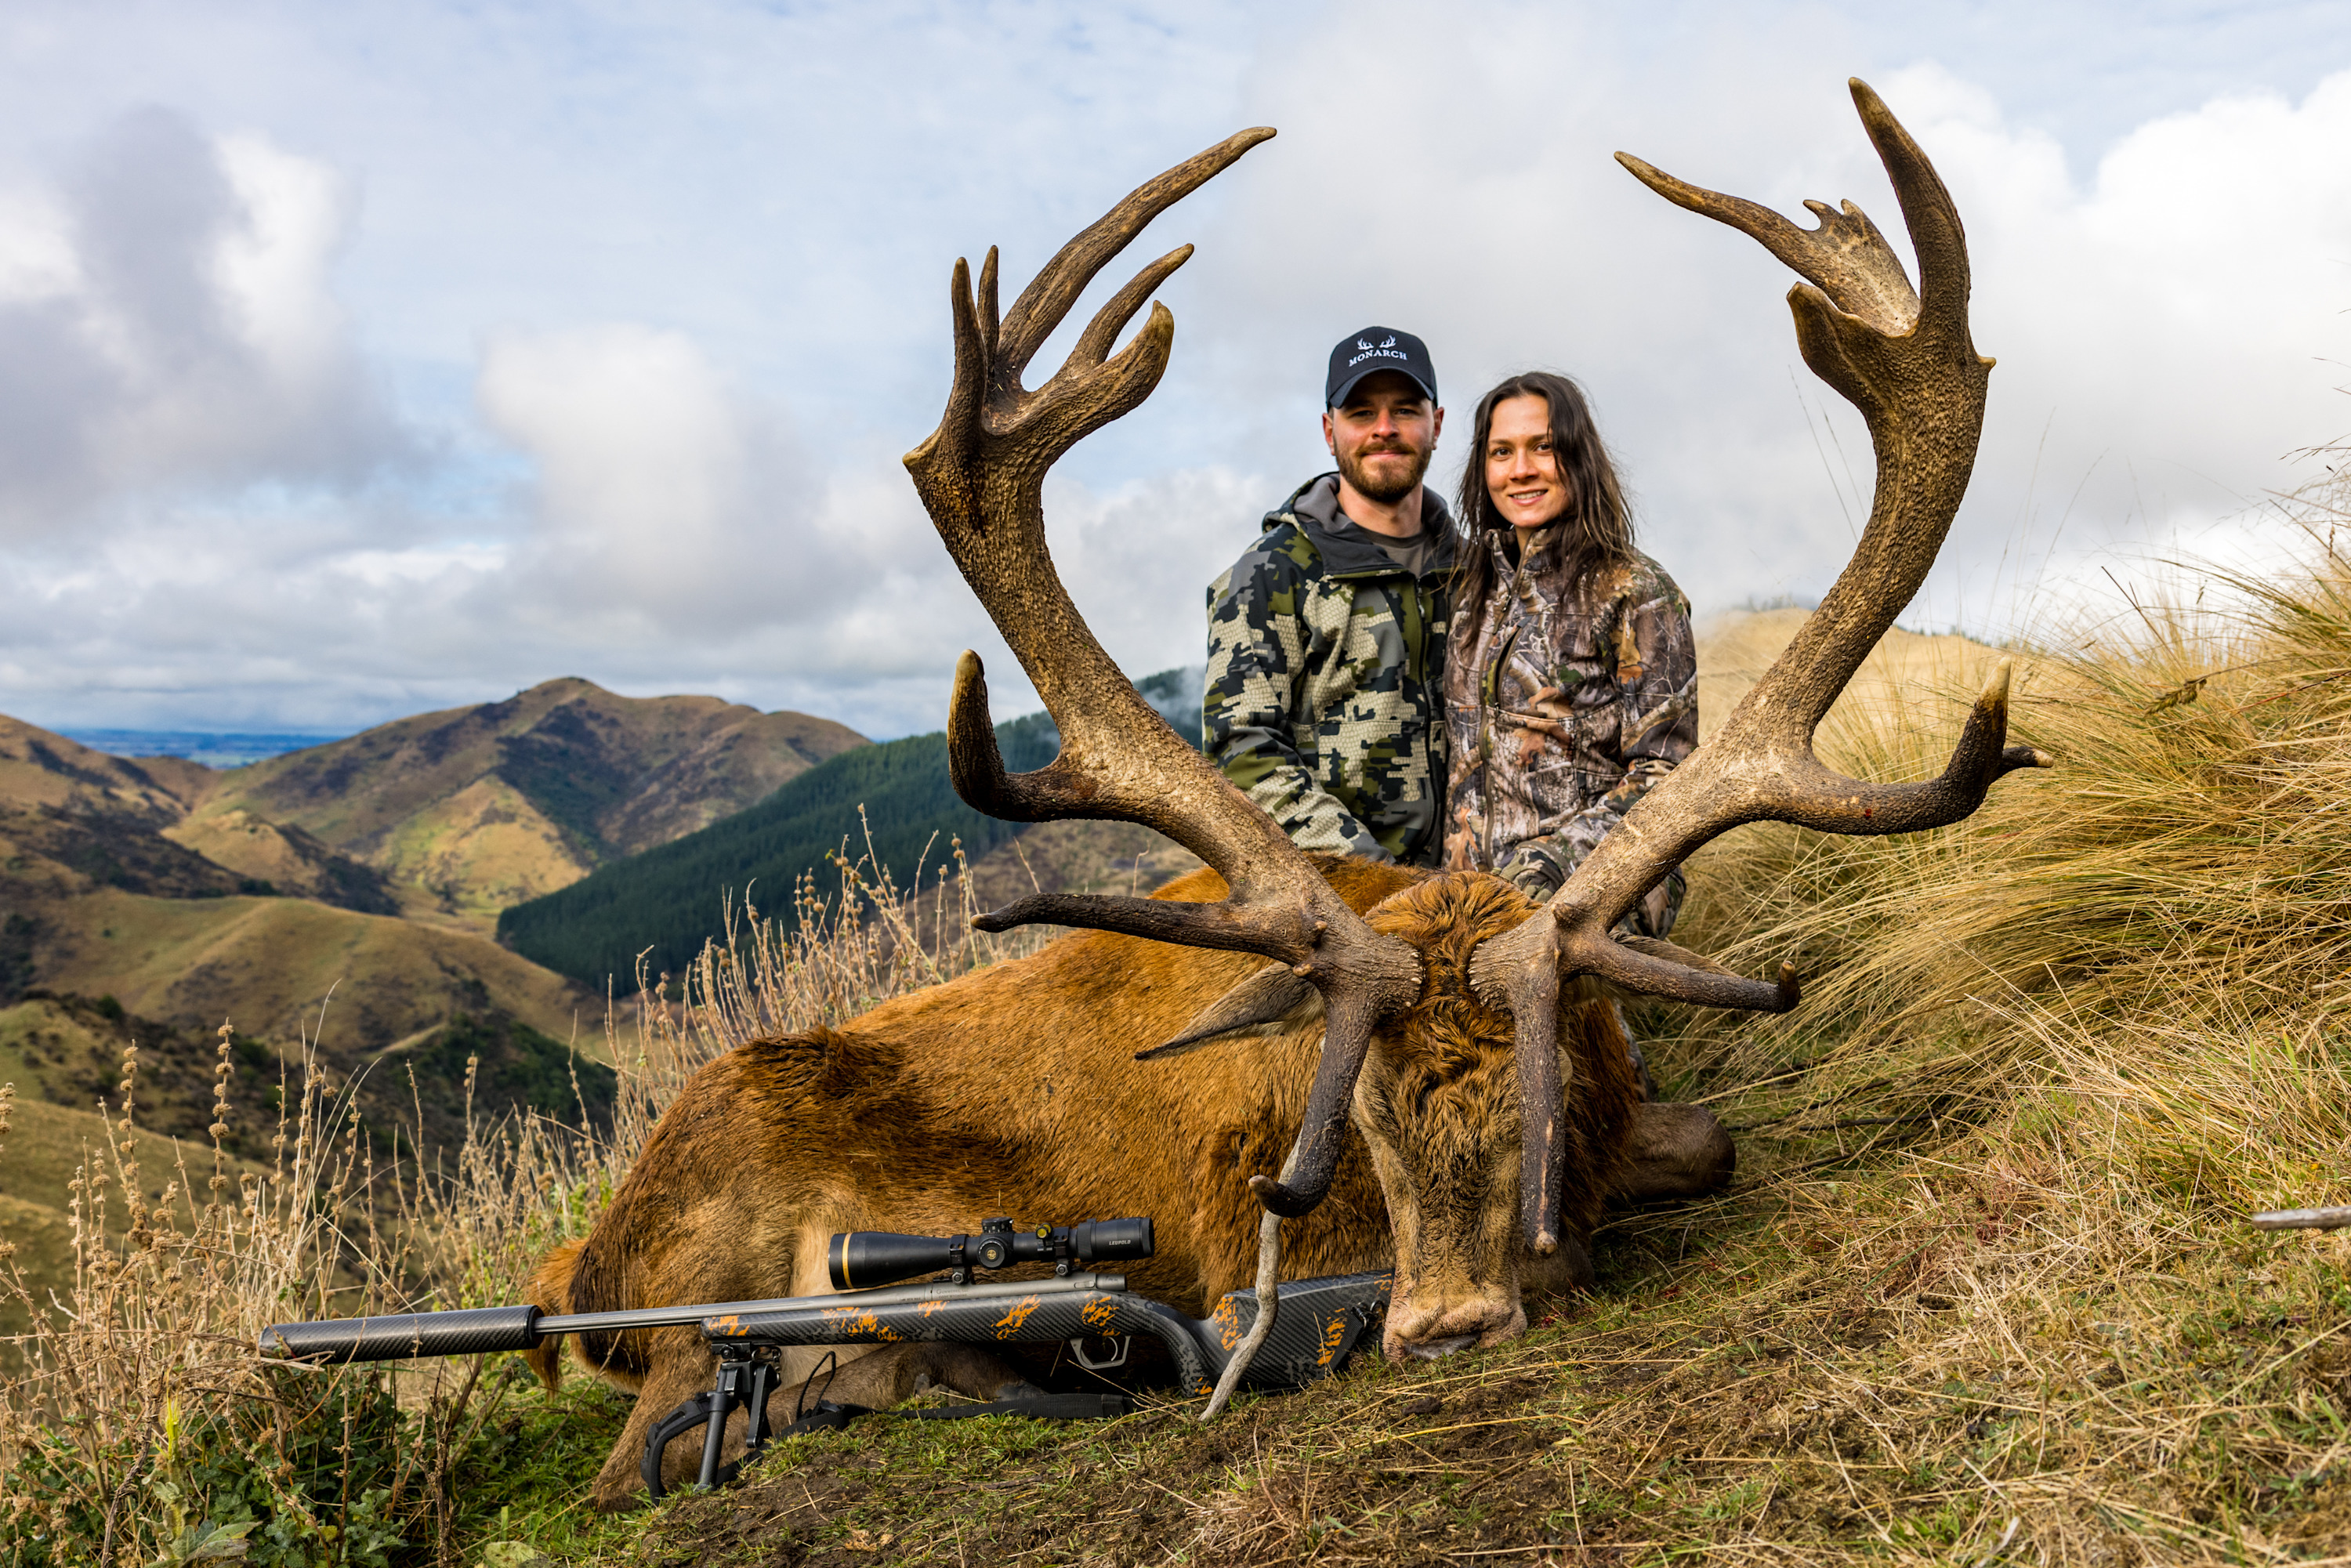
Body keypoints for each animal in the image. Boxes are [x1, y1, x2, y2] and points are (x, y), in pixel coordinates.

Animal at [526, 80, 2049, 1510]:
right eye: (1357, 1118)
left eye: (1540, 1104)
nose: (1444, 1325)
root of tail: (583, 1272)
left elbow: (1714, 1139)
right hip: (715, 1266)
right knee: (644, 1449)